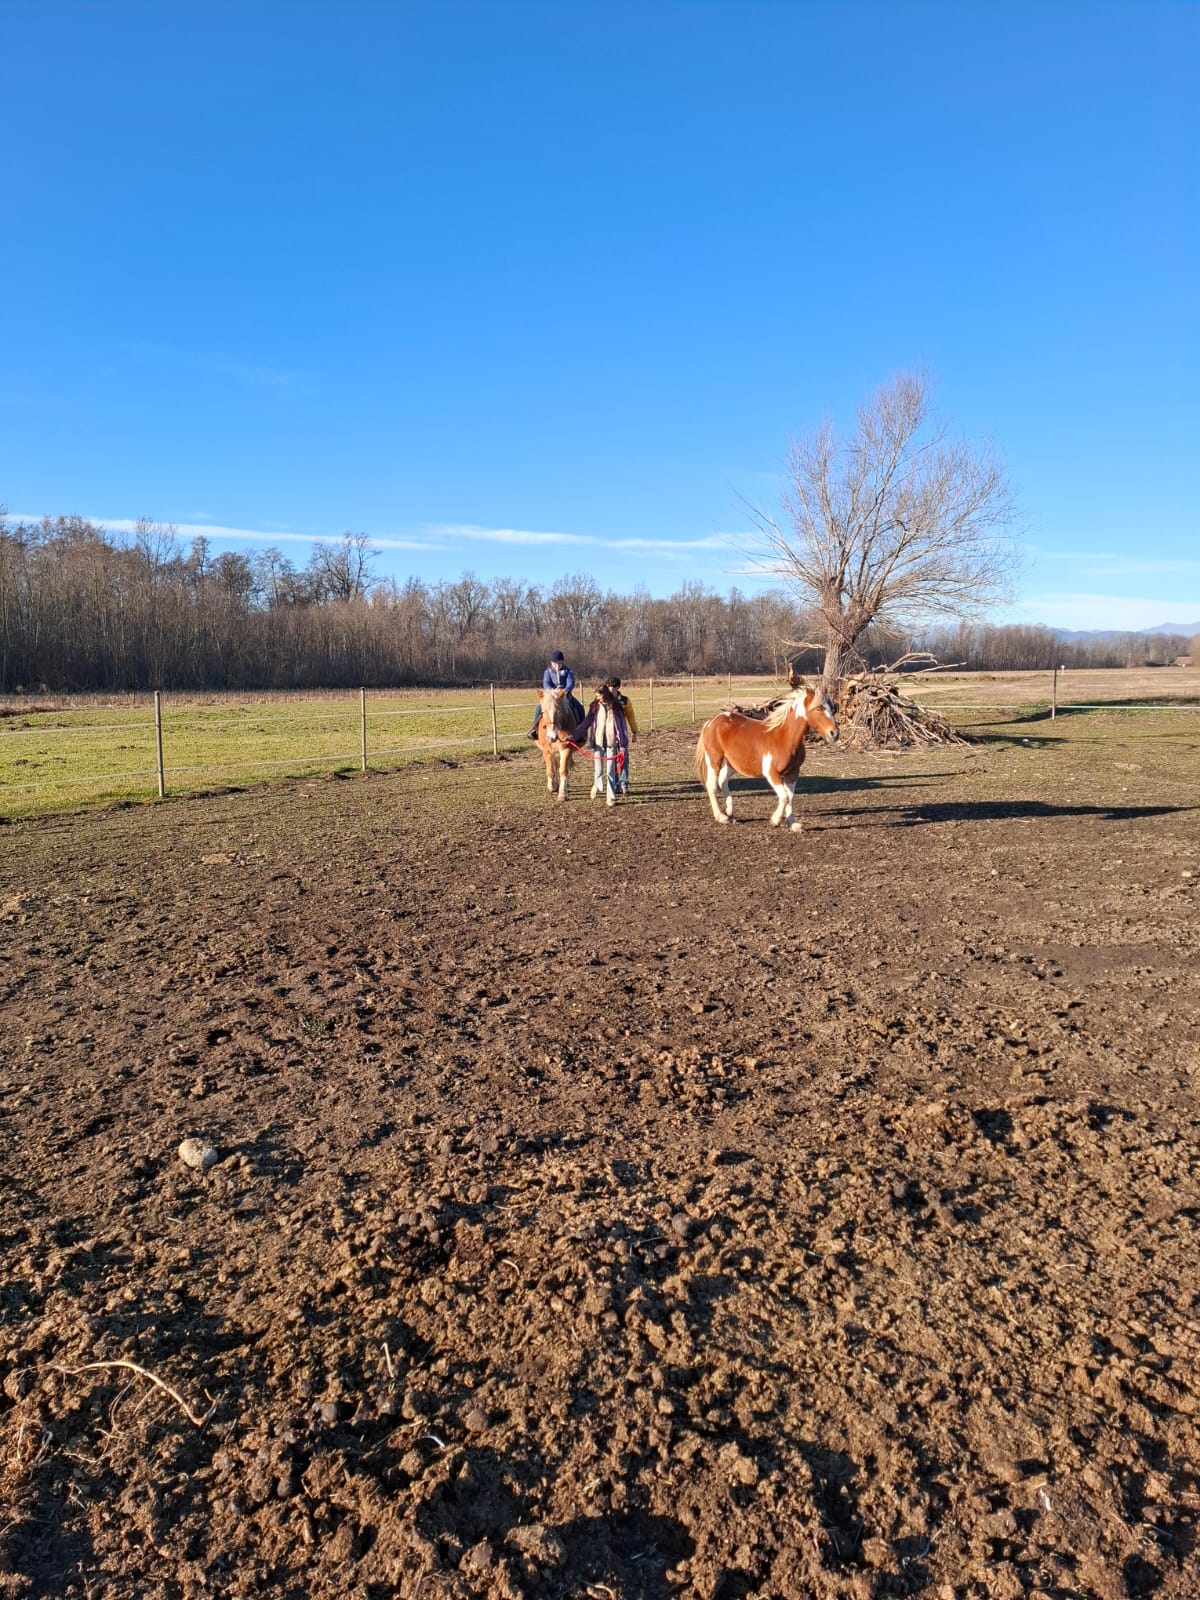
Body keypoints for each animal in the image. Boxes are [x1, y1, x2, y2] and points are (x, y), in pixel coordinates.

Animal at [694, 672, 838, 832]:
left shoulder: (793, 773)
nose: (834, 733)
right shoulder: (771, 773)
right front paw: (775, 820)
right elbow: (784, 797)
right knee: (711, 785)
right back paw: (721, 817)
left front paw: (793, 824)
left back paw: (729, 812)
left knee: (722, 780)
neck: (783, 737)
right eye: (818, 708)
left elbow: (790, 797)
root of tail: (711, 722)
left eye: (832, 709)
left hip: (733, 764)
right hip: (714, 759)